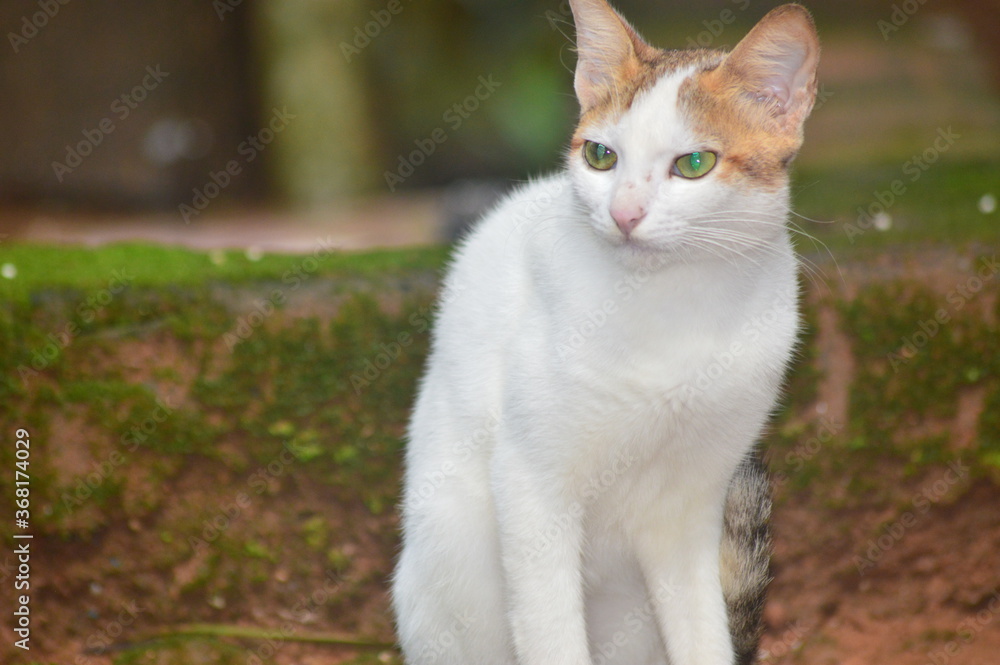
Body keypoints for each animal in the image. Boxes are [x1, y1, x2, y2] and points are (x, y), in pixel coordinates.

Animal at [390, 2, 820, 660]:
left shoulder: (692, 507)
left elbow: (705, 635)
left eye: (694, 164)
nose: (623, 213)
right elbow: (551, 636)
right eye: (600, 156)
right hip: (453, 563)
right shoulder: (531, 486)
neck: (675, 308)